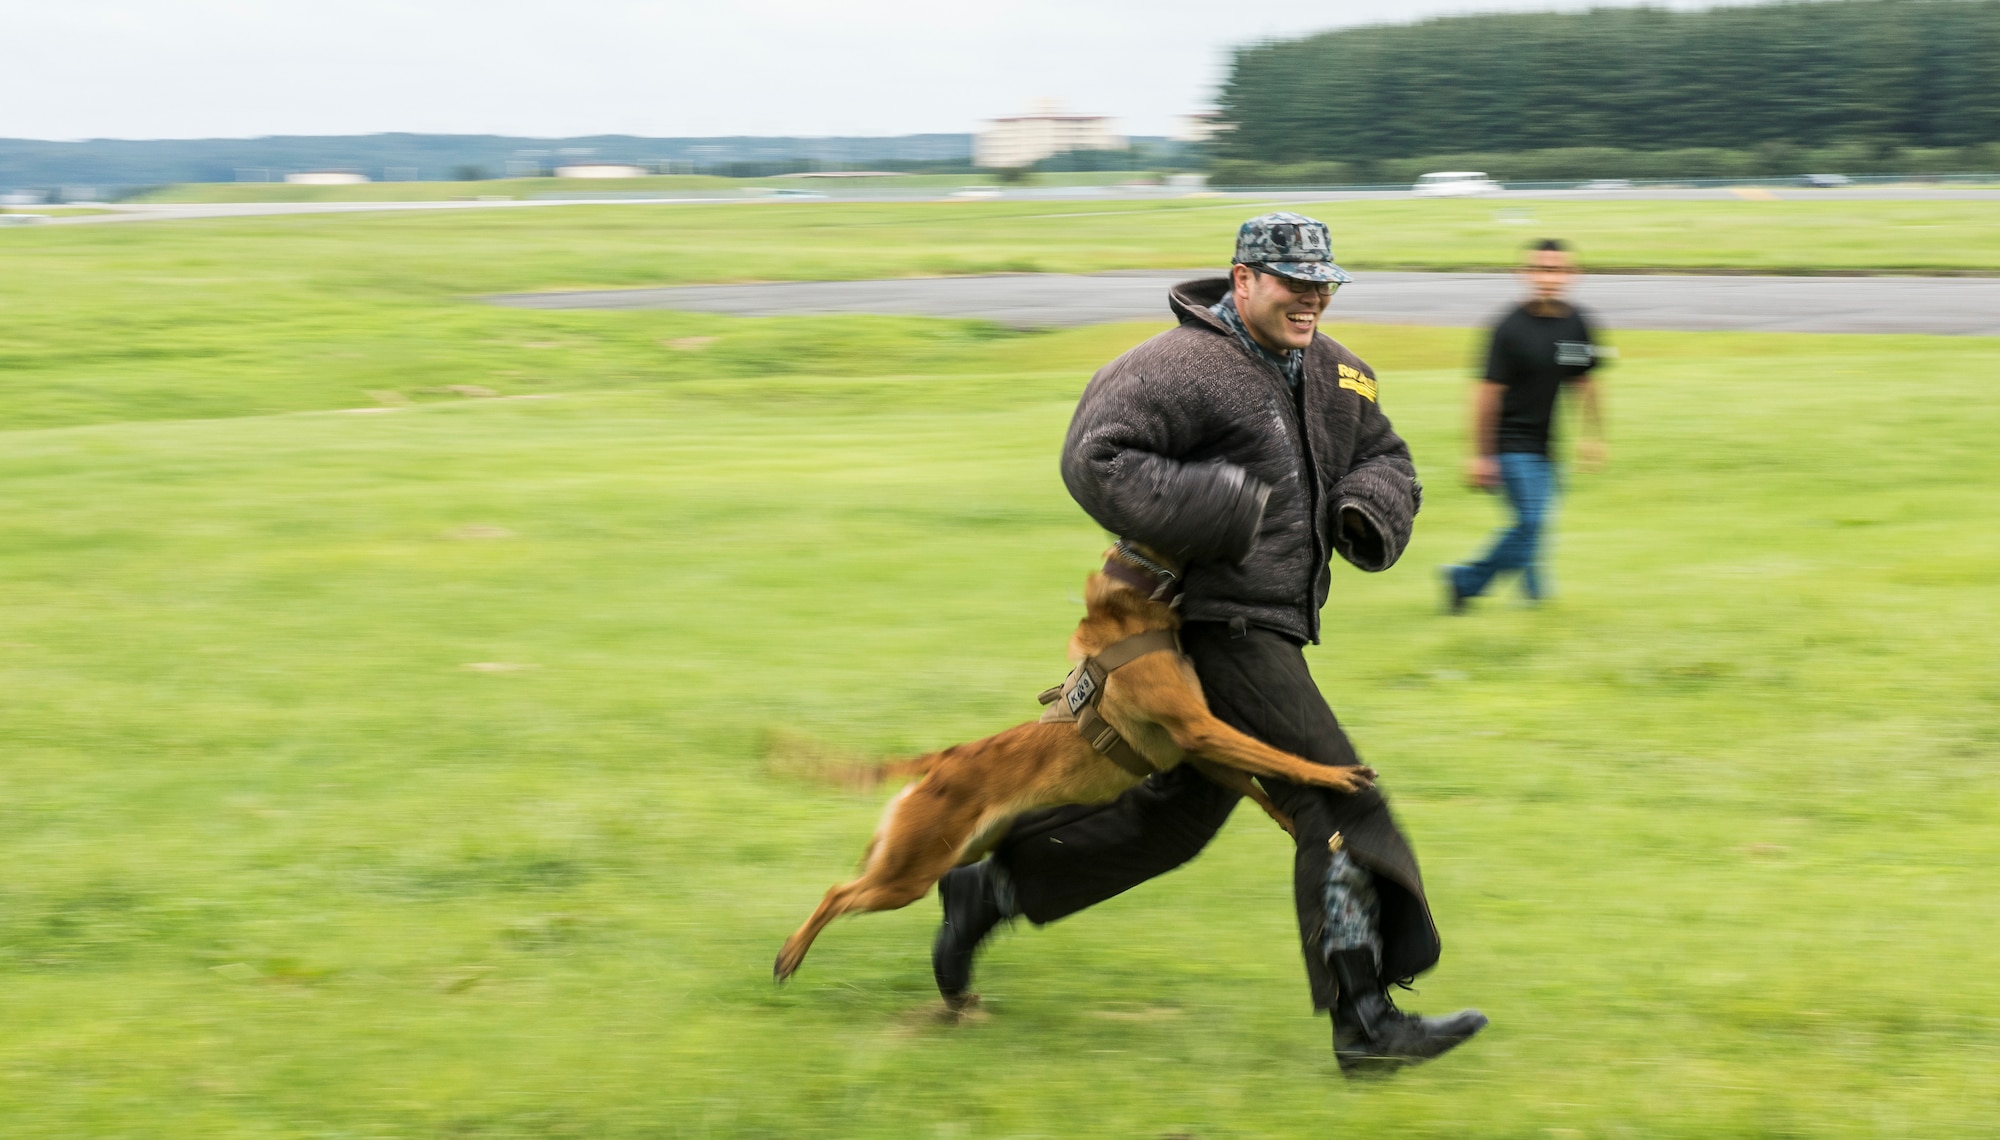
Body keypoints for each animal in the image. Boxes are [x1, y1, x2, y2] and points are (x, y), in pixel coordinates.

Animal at [776, 544, 1376, 980]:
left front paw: (1294, 820)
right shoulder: (1201, 730)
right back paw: (789, 956)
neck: (1133, 616)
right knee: (836, 893)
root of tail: (945, 760)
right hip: (907, 873)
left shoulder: (1200, 749)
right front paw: (1336, 775)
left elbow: (1258, 783)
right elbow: (1280, 756)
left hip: (939, 857)